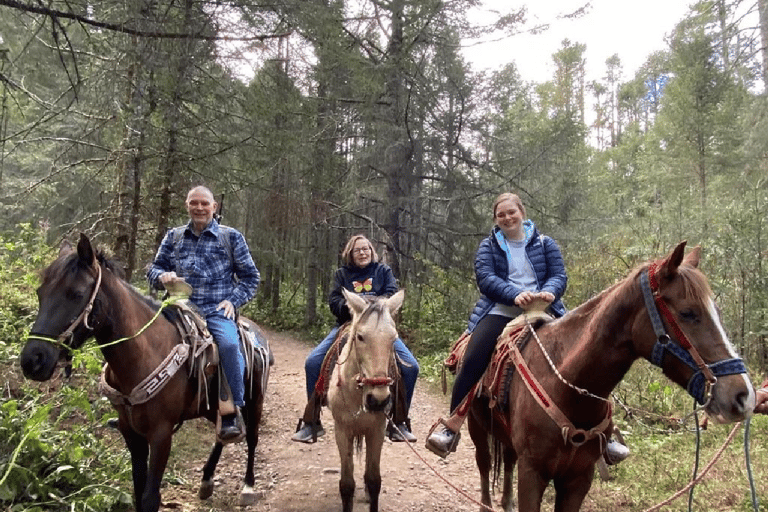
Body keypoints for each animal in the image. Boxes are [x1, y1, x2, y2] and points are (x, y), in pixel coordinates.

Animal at [19, 235, 272, 512]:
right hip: (211, 406)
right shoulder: (130, 432)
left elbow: (151, 497)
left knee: (252, 438)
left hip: (254, 402)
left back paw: (248, 487)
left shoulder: (161, 434)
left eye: (76, 294)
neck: (144, 353)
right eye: (40, 293)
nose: (32, 360)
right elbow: (139, 492)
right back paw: (206, 480)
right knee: (221, 435)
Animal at [326, 288, 404, 512]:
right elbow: (346, 484)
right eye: (360, 337)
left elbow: (374, 480)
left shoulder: (376, 431)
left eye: (393, 338)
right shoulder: (342, 431)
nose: (378, 400)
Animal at [464, 243, 752, 512]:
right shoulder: (532, 474)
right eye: (688, 313)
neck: (567, 386)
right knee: (485, 465)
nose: (744, 396)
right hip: (476, 428)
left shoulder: (579, 478)